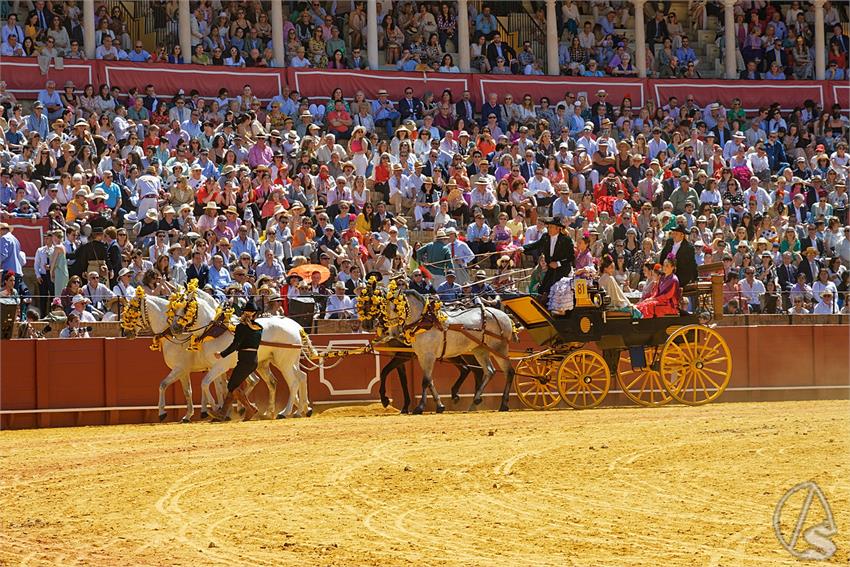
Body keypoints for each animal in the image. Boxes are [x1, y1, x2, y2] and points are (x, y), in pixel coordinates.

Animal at [175, 292, 312, 422]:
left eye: (186, 307)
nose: (175, 328)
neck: (215, 331)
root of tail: (296, 327)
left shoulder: (220, 366)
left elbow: (205, 384)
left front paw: (215, 408)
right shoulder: (214, 367)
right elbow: (221, 388)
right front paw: (222, 411)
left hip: (284, 363)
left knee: (293, 383)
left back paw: (284, 412)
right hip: (288, 362)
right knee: (300, 377)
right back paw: (298, 410)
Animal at [386, 290, 516, 414]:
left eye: (396, 308)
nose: (393, 332)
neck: (425, 322)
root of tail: (504, 315)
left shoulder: (428, 356)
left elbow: (425, 381)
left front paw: (420, 407)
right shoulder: (422, 356)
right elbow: (430, 381)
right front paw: (440, 406)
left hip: (499, 348)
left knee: (509, 372)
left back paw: (503, 404)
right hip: (480, 350)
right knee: (489, 371)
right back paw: (476, 400)